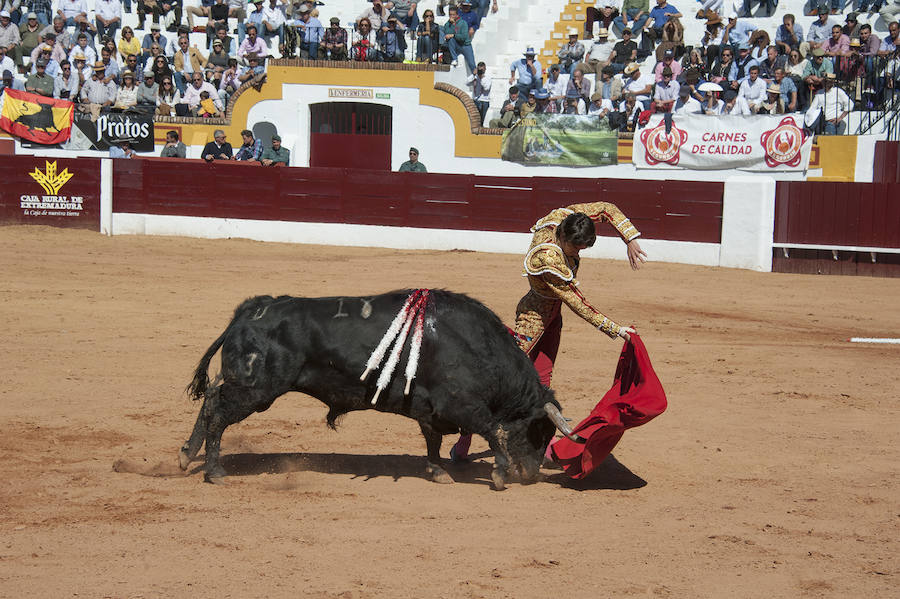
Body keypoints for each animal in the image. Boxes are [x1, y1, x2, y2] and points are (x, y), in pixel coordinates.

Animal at [179, 290, 580, 492]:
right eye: (540, 431)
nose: (531, 475)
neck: (476, 345)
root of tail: (249, 311)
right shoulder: (461, 405)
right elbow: (493, 433)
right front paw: (498, 475)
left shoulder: (430, 409)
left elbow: (433, 440)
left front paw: (438, 471)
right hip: (255, 389)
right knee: (217, 412)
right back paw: (214, 471)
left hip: (245, 386)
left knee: (210, 401)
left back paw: (187, 456)